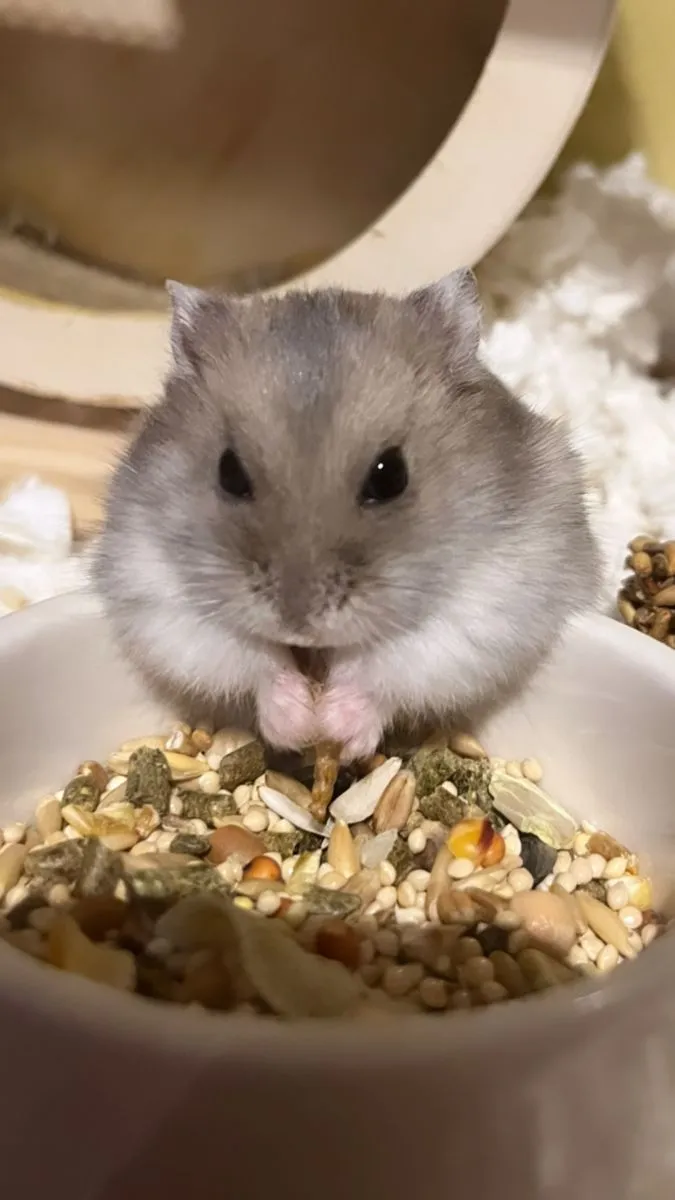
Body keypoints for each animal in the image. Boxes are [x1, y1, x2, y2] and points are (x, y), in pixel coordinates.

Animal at [93, 269, 600, 761]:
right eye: (229, 472)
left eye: (391, 476)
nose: (298, 624)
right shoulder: (161, 598)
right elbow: (250, 661)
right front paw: (298, 726)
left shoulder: (484, 610)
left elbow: (386, 665)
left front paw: (335, 727)